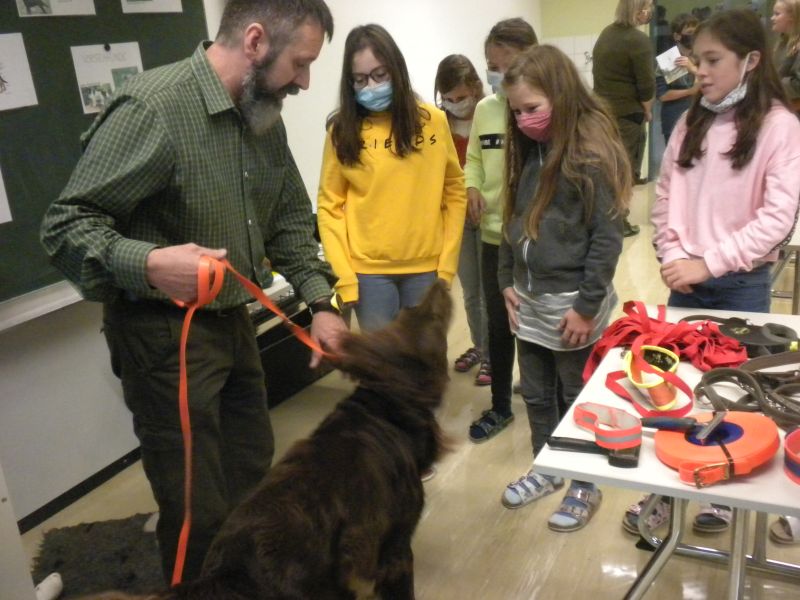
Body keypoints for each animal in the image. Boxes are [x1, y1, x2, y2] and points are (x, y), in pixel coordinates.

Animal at [82, 279, 452, 599]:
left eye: (413, 310)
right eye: (427, 316)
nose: (441, 283)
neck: (382, 406)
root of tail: (230, 570)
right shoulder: (395, 549)